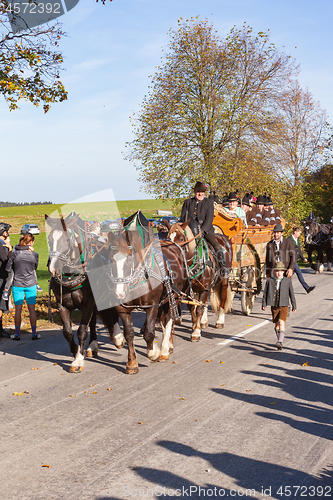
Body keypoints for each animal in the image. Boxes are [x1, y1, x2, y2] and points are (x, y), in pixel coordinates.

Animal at [44, 211, 121, 372]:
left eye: (67, 239)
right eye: (49, 239)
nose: (53, 268)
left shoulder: (88, 303)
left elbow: (81, 330)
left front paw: (78, 360)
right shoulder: (62, 305)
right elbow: (67, 332)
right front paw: (76, 352)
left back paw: (118, 337)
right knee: (93, 322)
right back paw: (92, 345)